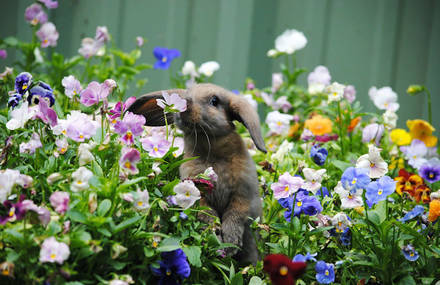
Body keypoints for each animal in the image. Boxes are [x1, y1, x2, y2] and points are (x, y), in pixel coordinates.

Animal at [125, 82, 266, 264]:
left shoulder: (243, 193)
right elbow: (207, 214)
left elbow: (235, 215)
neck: (212, 152)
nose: (185, 104)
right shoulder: (198, 193)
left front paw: (230, 243)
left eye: (214, 101)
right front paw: (216, 237)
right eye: (186, 94)